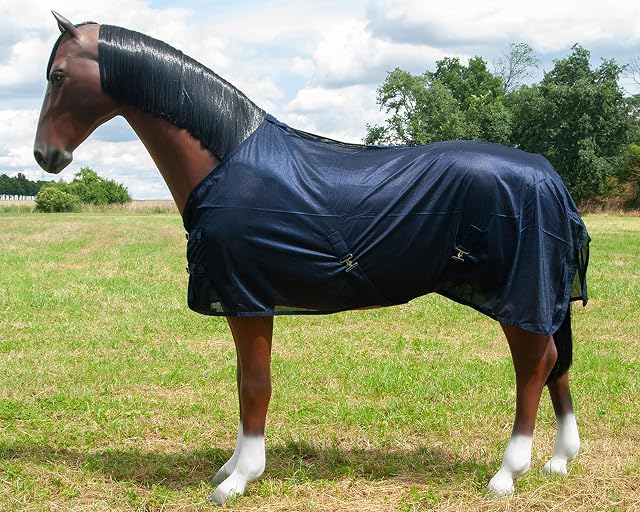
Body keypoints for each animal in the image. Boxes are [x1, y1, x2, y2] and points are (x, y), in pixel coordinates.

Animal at [34, 12, 589, 505]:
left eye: (58, 76)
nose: (46, 156)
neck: (227, 160)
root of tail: (549, 176)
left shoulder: (247, 299)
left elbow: (255, 385)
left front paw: (240, 479)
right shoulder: (242, 300)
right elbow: (243, 382)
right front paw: (231, 467)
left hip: (521, 297)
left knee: (534, 366)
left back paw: (508, 474)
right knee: (556, 364)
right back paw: (559, 461)